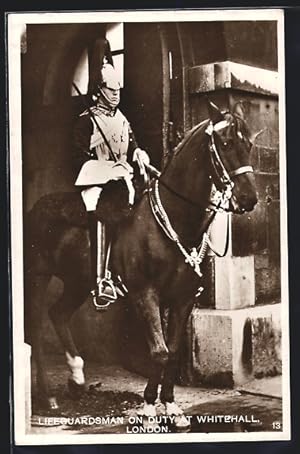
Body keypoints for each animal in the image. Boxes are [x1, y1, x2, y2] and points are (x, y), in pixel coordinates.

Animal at [24, 101, 258, 428]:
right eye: (224, 144)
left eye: (248, 144)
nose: (249, 199)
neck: (173, 217)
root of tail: (36, 208)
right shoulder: (145, 294)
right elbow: (159, 352)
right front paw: (148, 409)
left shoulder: (183, 299)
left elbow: (173, 351)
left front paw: (171, 406)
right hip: (38, 276)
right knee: (35, 328)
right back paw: (49, 398)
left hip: (78, 282)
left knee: (58, 313)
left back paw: (77, 378)